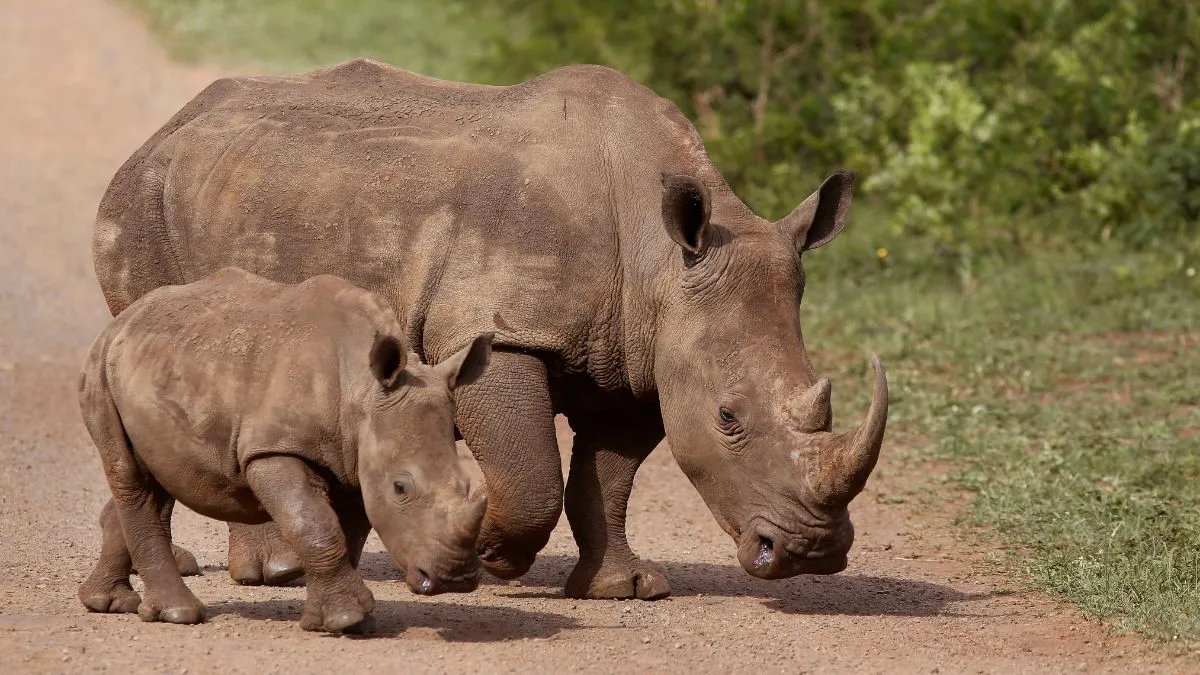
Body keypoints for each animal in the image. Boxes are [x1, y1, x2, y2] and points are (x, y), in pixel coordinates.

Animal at [77, 267, 492, 632]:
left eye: (464, 485)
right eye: (400, 487)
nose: (455, 579)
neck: (362, 389)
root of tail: (123, 320)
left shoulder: (353, 458)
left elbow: (342, 534)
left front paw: (334, 619)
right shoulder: (274, 449)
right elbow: (313, 524)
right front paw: (346, 619)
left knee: (158, 475)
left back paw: (107, 603)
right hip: (100, 370)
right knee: (131, 476)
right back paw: (178, 614)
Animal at [93, 59, 888, 600]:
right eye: (729, 417)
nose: (812, 554)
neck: (661, 263)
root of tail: (165, 130)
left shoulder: (642, 359)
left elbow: (607, 479)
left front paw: (623, 588)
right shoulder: (498, 330)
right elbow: (533, 473)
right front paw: (496, 560)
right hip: (143, 204)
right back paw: (276, 572)